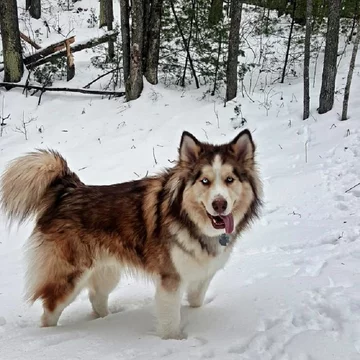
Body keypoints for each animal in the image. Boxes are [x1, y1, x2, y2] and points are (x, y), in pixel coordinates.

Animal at [0, 131, 262, 338]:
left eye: (229, 180)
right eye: (205, 181)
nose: (219, 204)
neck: (190, 221)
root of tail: (68, 190)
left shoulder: (201, 274)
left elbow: (196, 302)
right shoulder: (170, 278)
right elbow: (170, 321)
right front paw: (175, 342)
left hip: (107, 271)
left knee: (96, 298)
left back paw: (106, 321)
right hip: (70, 276)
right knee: (50, 311)